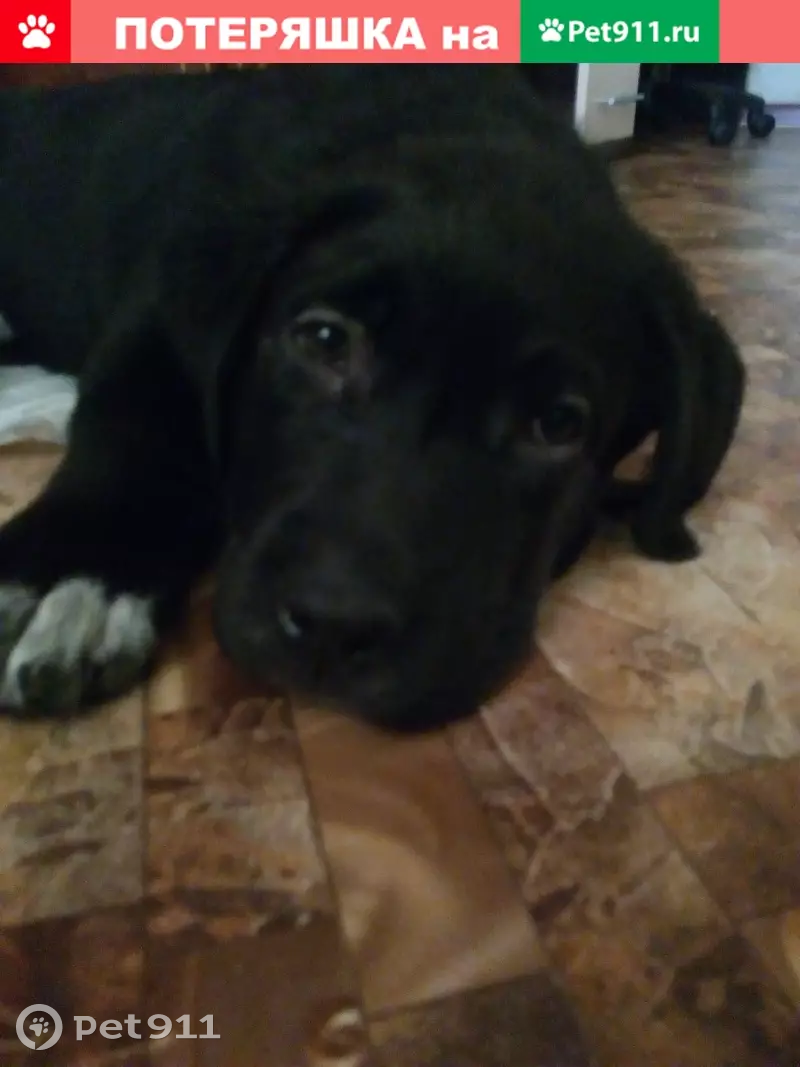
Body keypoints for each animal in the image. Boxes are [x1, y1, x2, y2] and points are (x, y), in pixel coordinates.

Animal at [0, 65, 745, 731]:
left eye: (558, 422)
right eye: (324, 339)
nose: (333, 625)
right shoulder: (156, 315)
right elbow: (137, 423)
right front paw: (76, 568)